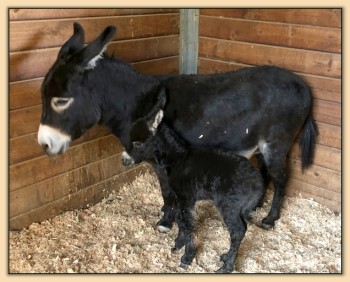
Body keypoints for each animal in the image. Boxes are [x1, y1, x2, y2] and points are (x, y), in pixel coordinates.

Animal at [121, 108, 264, 274]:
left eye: (137, 143)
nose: (123, 160)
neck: (177, 159)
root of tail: (257, 181)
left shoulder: (185, 197)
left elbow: (187, 224)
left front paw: (187, 257)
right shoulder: (182, 198)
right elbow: (179, 219)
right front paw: (178, 243)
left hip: (229, 205)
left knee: (237, 231)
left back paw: (226, 267)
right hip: (237, 208)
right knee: (241, 229)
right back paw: (226, 257)